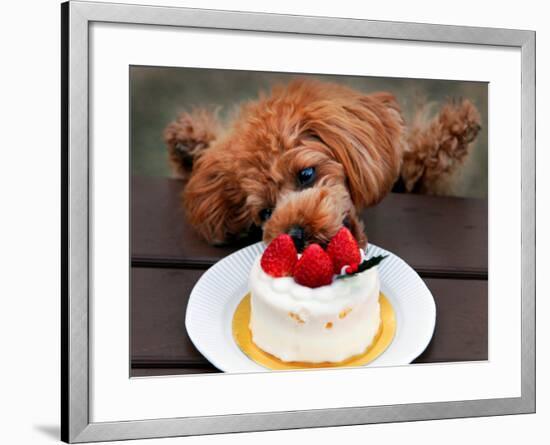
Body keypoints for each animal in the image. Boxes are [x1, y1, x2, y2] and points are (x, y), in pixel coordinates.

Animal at [165, 79, 484, 250]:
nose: (295, 235)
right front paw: (190, 143)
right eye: (265, 212)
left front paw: (457, 126)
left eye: (306, 174)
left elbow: (421, 160)